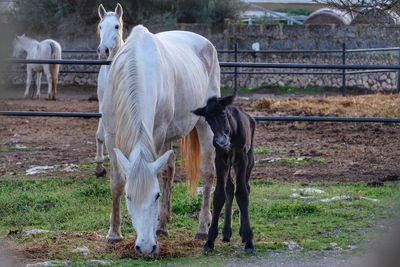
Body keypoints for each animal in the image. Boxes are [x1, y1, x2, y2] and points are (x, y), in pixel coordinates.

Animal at [101, 25, 220, 258]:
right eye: (129, 197)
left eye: (155, 196)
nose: (146, 247)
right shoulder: (111, 136)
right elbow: (116, 182)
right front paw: (114, 233)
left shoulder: (157, 132)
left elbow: (157, 177)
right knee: (169, 171)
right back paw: (162, 225)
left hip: (204, 125)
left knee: (207, 172)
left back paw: (202, 228)